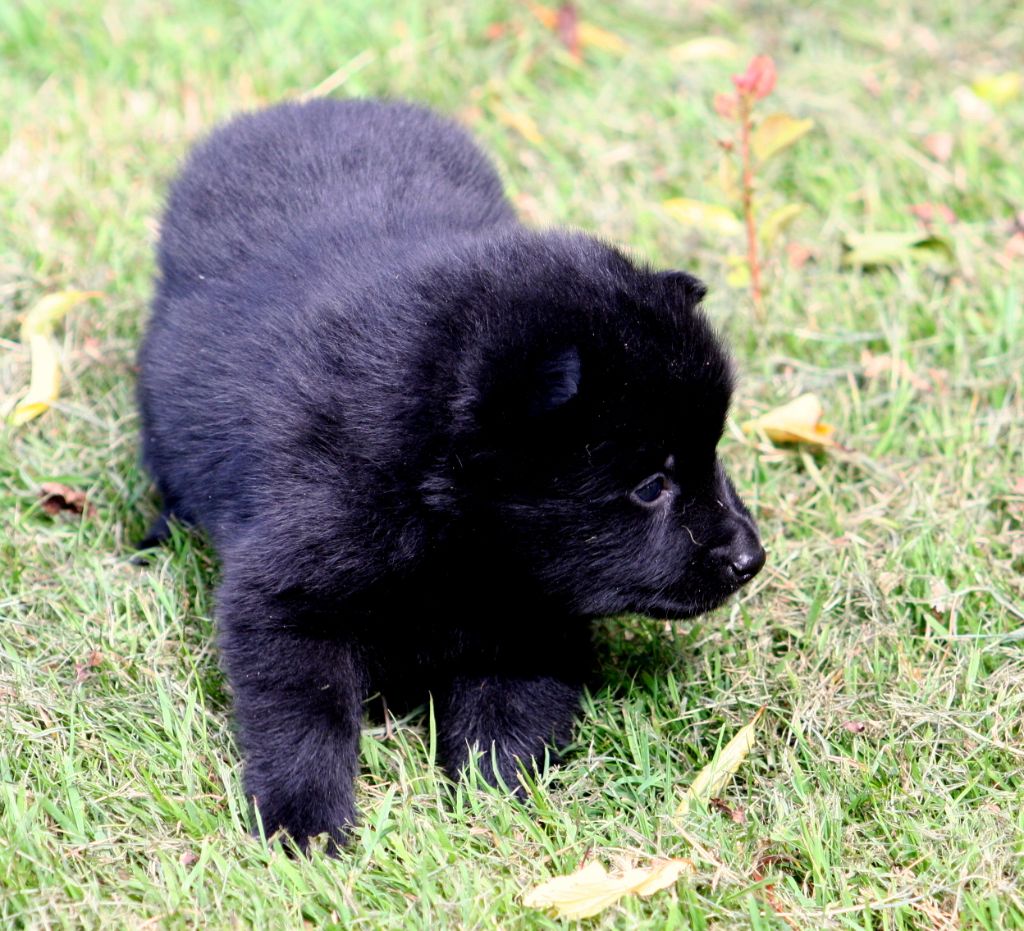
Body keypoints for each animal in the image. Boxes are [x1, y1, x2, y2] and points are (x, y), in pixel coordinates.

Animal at [137, 98, 765, 852]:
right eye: (650, 485)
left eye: (713, 450)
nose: (750, 558)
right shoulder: (289, 590)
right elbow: (305, 712)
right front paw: (304, 821)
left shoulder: (535, 606)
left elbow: (515, 695)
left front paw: (496, 791)